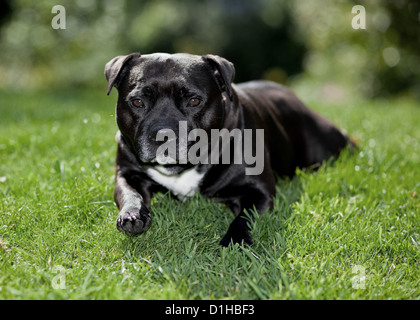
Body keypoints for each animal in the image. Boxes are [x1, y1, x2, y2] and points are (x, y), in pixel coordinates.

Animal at [104, 53, 352, 246]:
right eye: (137, 102)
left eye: (194, 101)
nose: (163, 133)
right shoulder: (127, 172)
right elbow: (130, 193)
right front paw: (132, 214)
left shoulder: (258, 191)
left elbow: (244, 217)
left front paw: (235, 239)